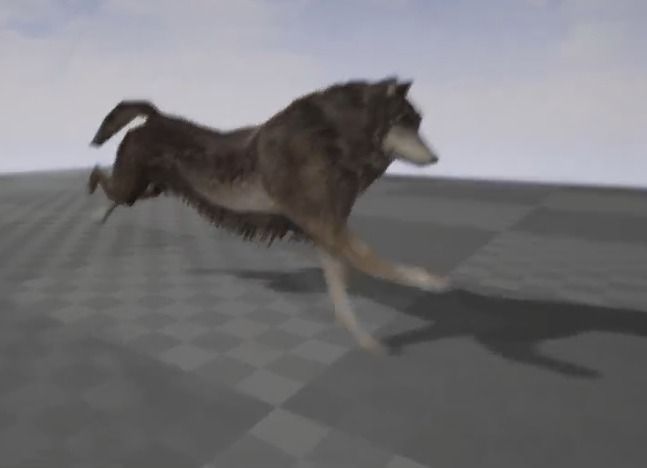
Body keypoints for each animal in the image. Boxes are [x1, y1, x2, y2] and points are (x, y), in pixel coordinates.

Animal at [88, 77, 450, 353]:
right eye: (405, 122)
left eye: (417, 123)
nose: (435, 158)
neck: (331, 137)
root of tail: (155, 117)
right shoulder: (324, 225)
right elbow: (376, 263)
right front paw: (431, 282)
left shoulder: (325, 230)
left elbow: (341, 293)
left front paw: (363, 339)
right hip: (132, 185)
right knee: (101, 178)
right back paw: (93, 198)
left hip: (147, 189)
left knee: (114, 194)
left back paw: (99, 213)